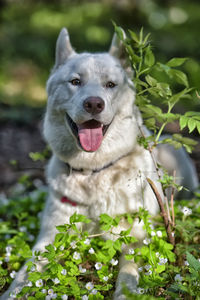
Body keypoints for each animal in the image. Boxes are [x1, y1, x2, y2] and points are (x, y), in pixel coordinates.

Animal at [1, 27, 198, 298]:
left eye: (110, 85)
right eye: (75, 82)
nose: (94, 103)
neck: (92, 171)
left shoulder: (137, 235)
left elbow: (128, 272)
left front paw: (126, 292)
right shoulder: (50, 236)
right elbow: (25, 274)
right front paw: (12, 291)